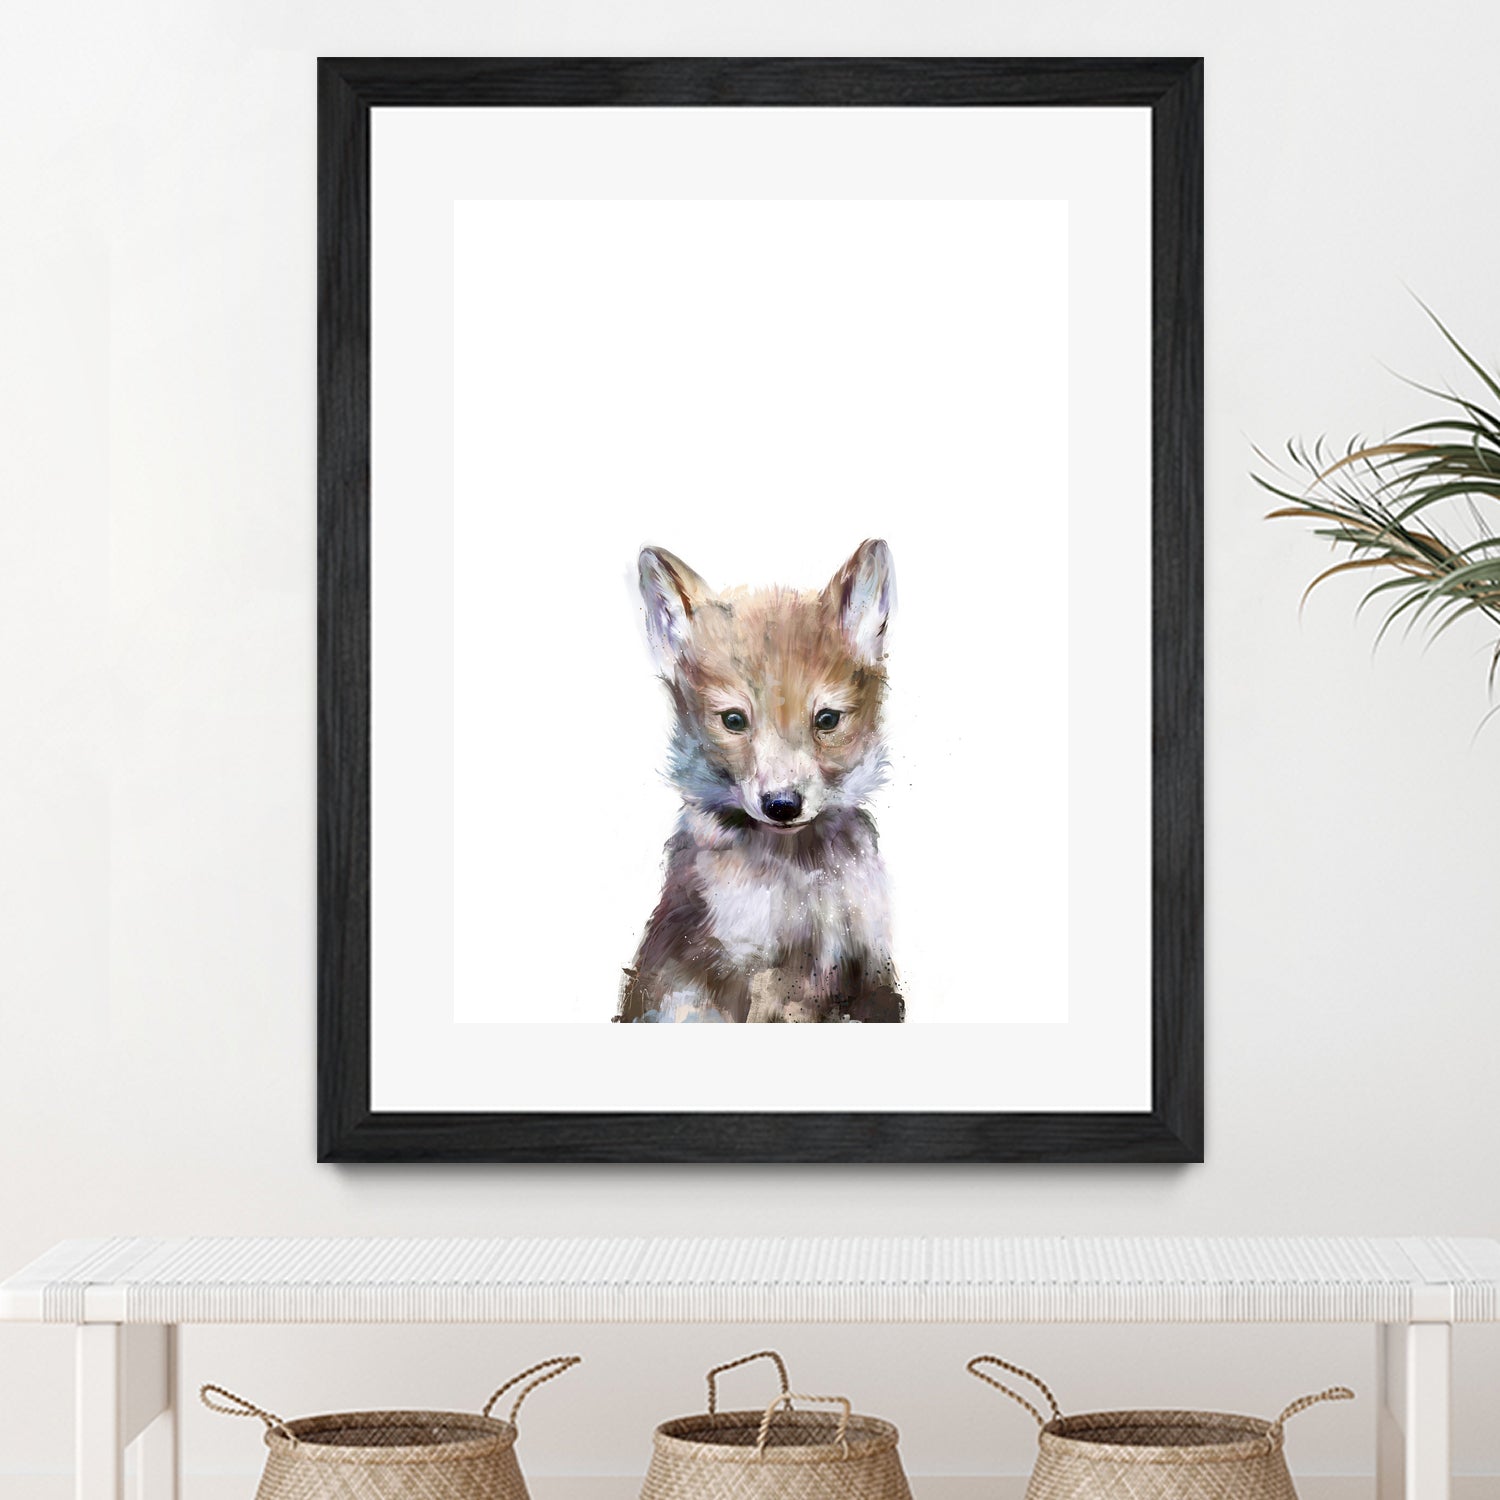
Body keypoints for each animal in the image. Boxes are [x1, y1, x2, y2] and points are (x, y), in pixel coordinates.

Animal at [616, 540, 903, 1024]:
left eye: (827, 719)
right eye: (734, 720)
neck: (800, 880)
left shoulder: (868, 967)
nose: (782, 805)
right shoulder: (750, 971)